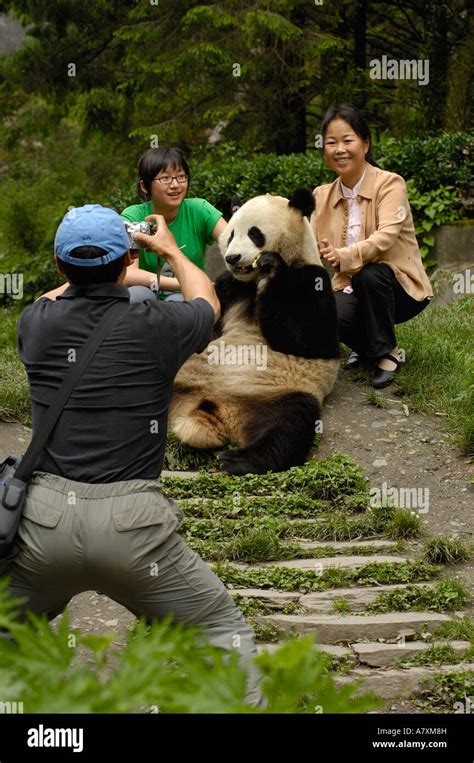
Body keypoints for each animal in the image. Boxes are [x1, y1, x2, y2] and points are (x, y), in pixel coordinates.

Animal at [170, 188, 340, 474]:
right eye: (230, 235)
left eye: (254, 233)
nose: (232, 258)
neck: (251, 282)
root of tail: (217, 409)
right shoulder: (228, 285)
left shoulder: (312, 278)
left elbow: (311, 339)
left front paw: (272, 269)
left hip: (274, 395)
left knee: (290, 423)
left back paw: (238, 460)